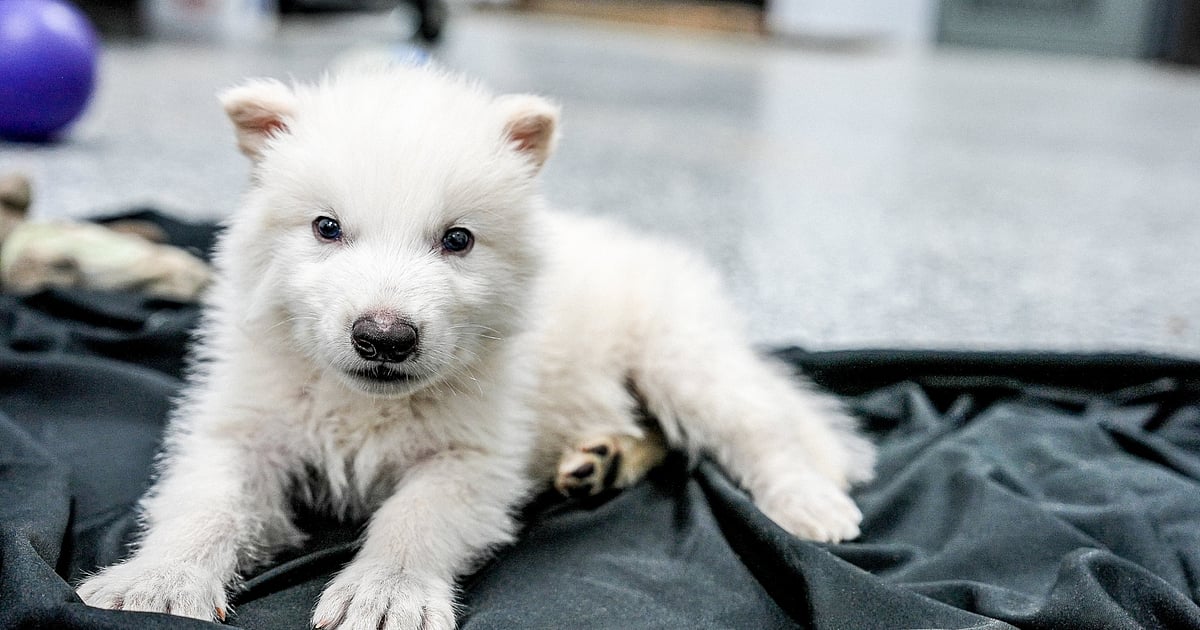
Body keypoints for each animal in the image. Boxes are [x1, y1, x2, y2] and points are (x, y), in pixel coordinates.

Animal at [76, 65, 874, 630]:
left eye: (457, 239)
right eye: (326, 228)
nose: (385, 337)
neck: (358, 402)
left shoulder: (476, 453)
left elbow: (417, 516)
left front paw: (386, 594)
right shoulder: (246, 423)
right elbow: (207, 499)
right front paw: (158, 583)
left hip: (680, 352)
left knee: (759, 424)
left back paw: (810, 502)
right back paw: (600, 458)